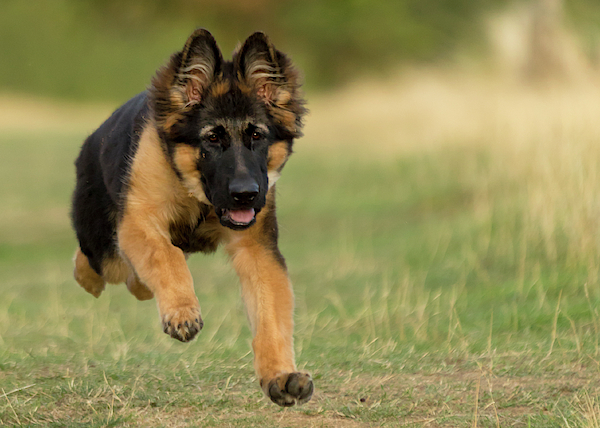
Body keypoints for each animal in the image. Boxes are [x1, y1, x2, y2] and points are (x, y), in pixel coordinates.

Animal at [71, 29, 310, 404]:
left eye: (257, 136)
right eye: (211, 139)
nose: (246, 194)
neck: (200, 198)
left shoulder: (257, 250)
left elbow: (271, 314)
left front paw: (281, 375)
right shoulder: (138, 222)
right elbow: (164, 254)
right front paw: (182, 312)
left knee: (135, 278)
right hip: (103, 246)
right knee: (95, 264)